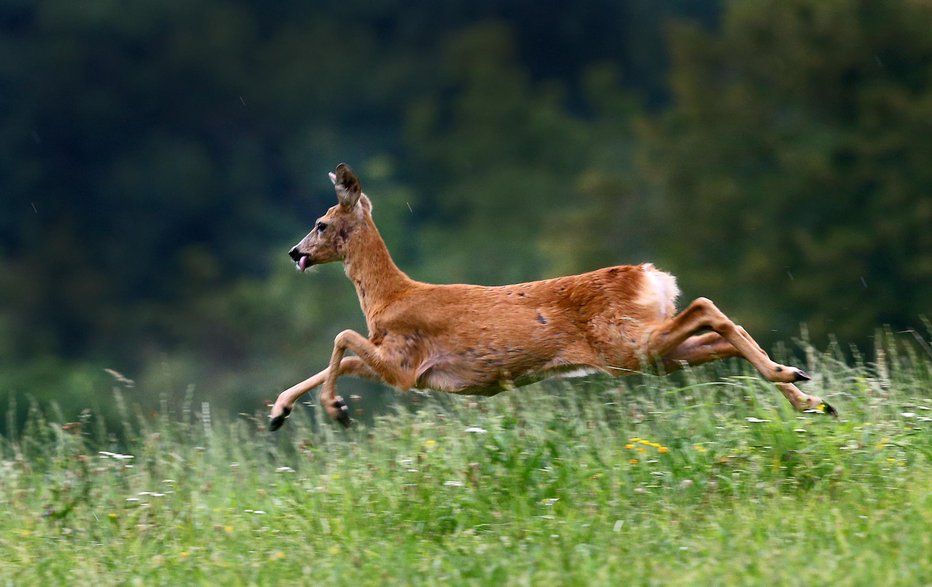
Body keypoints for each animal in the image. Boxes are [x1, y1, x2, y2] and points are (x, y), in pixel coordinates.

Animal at [266, 163, 832, 430]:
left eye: (321, 223)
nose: (294, 252)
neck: (388, 296)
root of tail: (651, 275)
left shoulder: (405, 365)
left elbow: (341, 338)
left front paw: (336, 410)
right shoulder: (395, 365)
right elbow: (339, 356)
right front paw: (279, 413)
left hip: (627, 346)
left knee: (706, 309)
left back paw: (795, 382)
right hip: (649, 353)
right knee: (715, 335)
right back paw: (808, 395)